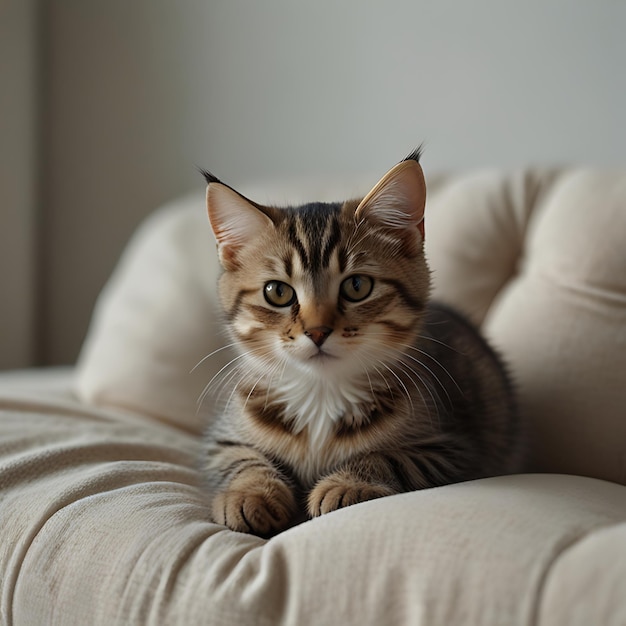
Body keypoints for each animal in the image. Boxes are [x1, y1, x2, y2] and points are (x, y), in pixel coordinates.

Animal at [202, 149, 520, 532]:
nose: (317, 331)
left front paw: (347, 484)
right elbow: (240, 458)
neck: (321, 394)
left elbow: (389, 456)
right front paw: (249, 493)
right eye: (277, 292)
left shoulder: (454, 450)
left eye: (357, 286)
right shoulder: (224, 437)